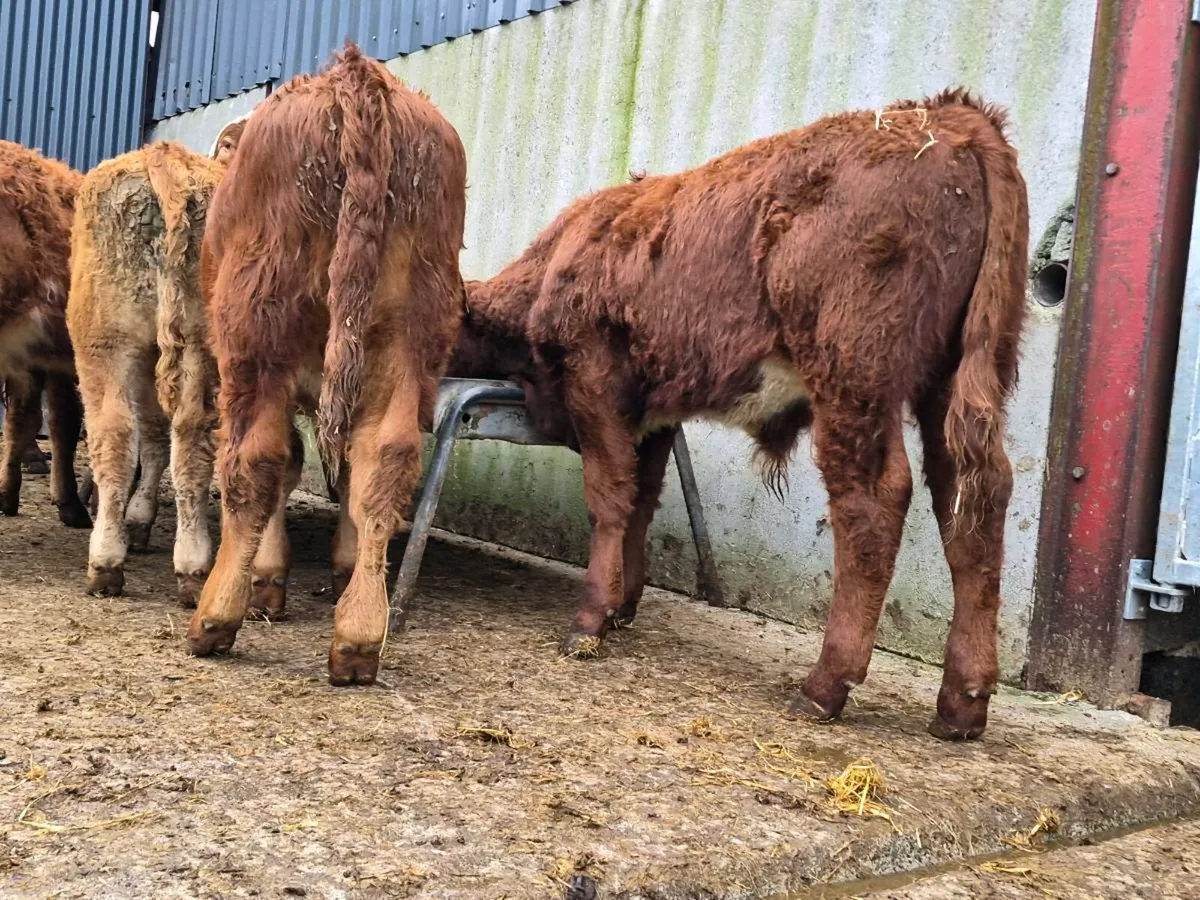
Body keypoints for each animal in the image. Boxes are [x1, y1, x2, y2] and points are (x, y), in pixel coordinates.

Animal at [67, 120, 247, 607]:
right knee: (186, 436)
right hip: (193, 341)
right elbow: (155, 433)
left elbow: (149, 434)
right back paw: (190, 566)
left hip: (103, 343)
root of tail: (164, 156)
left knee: (116, 435)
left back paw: (106, 562)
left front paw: (137, 518)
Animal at [185, 43, 468, 688]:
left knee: (254, 461)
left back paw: (215, 617)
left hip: (255, 335)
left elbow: (287, 462)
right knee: (385, 460)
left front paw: (267, 580)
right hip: (409, 340)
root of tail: (355, 76)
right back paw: (360, 636)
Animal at [447, 89, 1029, 740]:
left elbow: (609, 500)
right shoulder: (652, 415)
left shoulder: (596, 388)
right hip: (958, 382)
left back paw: (826, 684)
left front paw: (590, 619)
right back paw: (963, 703)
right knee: (972, 503)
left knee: (874, 502)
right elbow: (642, 500)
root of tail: (950, 116)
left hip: (854, 378)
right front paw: (623, 603)